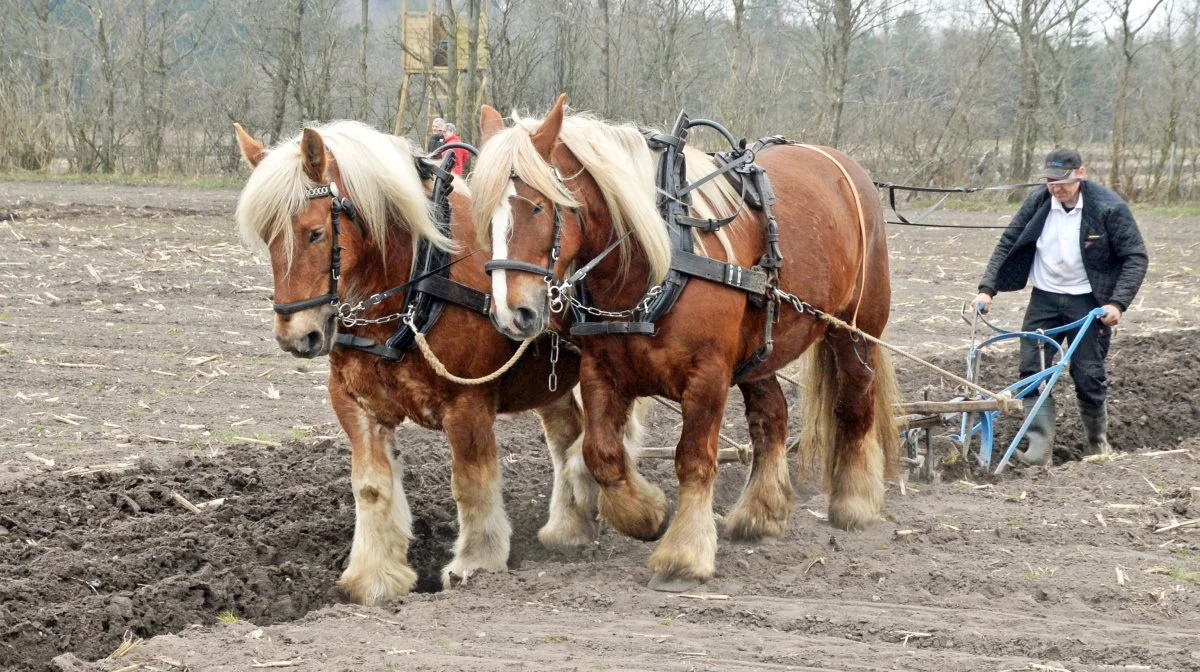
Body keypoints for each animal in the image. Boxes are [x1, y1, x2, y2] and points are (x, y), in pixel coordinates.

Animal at [226, 119, 638, 604]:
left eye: (314, 233)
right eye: (268, 235)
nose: (295, 336)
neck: (416, 283)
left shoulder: (468, 402)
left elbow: (471, 482)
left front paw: (476, 562)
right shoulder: (354, 402)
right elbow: (370, 486)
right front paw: (374, 576)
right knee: (566, 435)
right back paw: (569, 526)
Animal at [468, 93, 902, 588]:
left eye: (538, 207)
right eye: (484, 213)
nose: (512, 312)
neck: (657, 260)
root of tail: (846, 166)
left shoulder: (708, 375)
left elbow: (693, 457)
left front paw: (684, 554)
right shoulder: (601, 371)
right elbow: (601, 454)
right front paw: (647, 514)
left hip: (855, 329)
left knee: (855, 404)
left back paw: (855, 503)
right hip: (760, 351)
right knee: (771, 416)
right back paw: (761, 513)